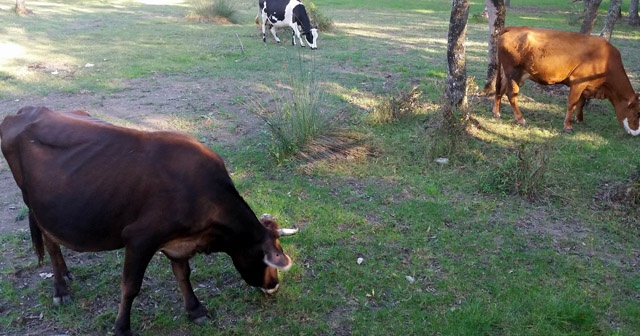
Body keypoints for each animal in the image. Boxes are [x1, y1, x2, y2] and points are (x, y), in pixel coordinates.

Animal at [0, 107, 300, 336]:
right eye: (266, 258)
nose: (274, 286)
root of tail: (25, 111)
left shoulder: (178, 241)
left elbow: (183, 274)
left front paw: (195, 310)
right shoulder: (140, 238)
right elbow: (131, 286)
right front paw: (122, 327)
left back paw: (65, 273)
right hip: (38, 207)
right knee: (50, 243)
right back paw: (60, 289)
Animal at [492, 25, 636, 135]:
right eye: (638, 112)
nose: (636, 132)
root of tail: (514, 28)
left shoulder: (585, 86)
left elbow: (581, 103)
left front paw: (580, 120)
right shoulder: (578, 82)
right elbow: (572, 103)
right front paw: (568, 126)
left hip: (507, 73)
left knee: (500, 88)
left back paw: (496, 113)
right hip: (514, 73)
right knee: (511, 94)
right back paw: (520, 119)